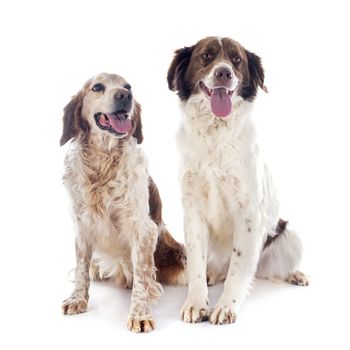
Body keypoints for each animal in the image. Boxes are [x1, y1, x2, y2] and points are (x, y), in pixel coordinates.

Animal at [60, 72, 187, 332]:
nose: (124, 96)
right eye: (97, 87)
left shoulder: (143, 229)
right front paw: (77, 299)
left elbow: (141, 276)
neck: (103, 163)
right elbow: (81, 269)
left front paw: (140, 314)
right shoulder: (82, 225)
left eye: (128, 86)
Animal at [168, 37, 308, 326]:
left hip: (290, 235)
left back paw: (296, 274)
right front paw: (196, 303)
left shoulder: (249, 215)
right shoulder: (193, 212)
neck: (216, 136)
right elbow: (196, 264)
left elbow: (237, 270)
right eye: (206, 56)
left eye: (237, 60)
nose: (224, 73)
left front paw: (225, 307)